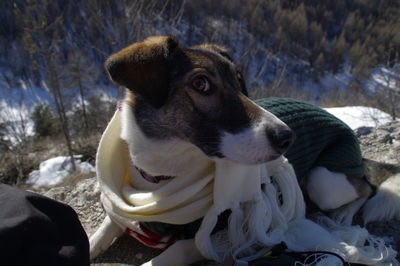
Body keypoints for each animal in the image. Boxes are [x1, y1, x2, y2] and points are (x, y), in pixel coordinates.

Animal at [90, 35, 400, 266]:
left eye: (240, 81)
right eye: (200, 83)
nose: (289, 137)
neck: (163, 176)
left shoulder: (219, 236)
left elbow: (175, 251)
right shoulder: (122, 206)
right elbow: (107, 223)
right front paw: (93, 243)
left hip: (323, 181)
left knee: (366, 187)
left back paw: (344, 214)